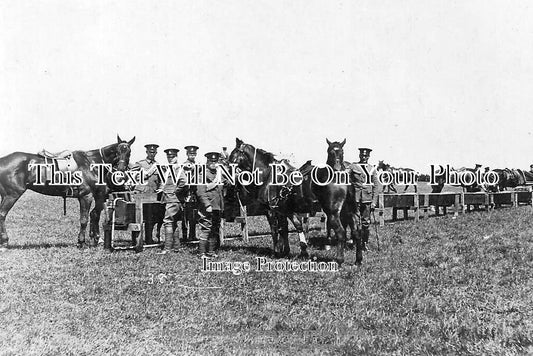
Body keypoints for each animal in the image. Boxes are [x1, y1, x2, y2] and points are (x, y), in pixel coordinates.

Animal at [0, 135, 135, 249]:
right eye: (117, 152)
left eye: (129, 152)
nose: (121, 170)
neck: (92, 163)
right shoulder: (86, 196)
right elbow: (84, 219)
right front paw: (81, 242)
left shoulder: (98, 196)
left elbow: (94, 216)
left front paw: (95, 239)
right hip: (11, 195)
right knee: (2, 214)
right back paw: (5, 242)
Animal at [229, 138, 362, 266]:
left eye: (233, 153)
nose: (228, 169)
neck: (270, 176)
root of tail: (342, 174)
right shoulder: (285, 211)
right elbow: (289, 229)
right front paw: (294, 251)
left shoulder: (272, 211)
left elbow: (275, 230)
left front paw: (276, 252)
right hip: (349, 211)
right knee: (356, 232)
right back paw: (358, 260)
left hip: (332, 213)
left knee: (341, 233)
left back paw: (339, 260)